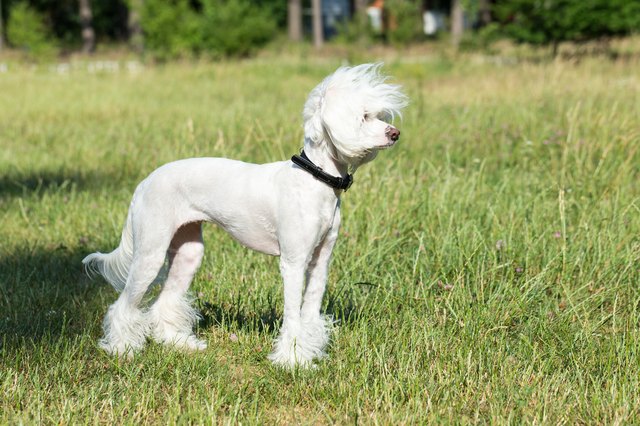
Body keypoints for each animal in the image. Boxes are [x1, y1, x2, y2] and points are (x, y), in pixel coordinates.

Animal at [82, 63, 408, 366]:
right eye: (364, 116)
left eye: (380, 115)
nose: (395, 134)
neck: (315, 179)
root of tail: (144, 183)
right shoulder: (293, 262)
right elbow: (293, 315)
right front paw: (292, 360)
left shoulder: (320, 260)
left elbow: (310, 312)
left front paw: (310, 351)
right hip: (150, 253)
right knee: (123, 305)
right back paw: (122, 350)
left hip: (188, 252)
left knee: (165, 302)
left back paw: (180, 344)